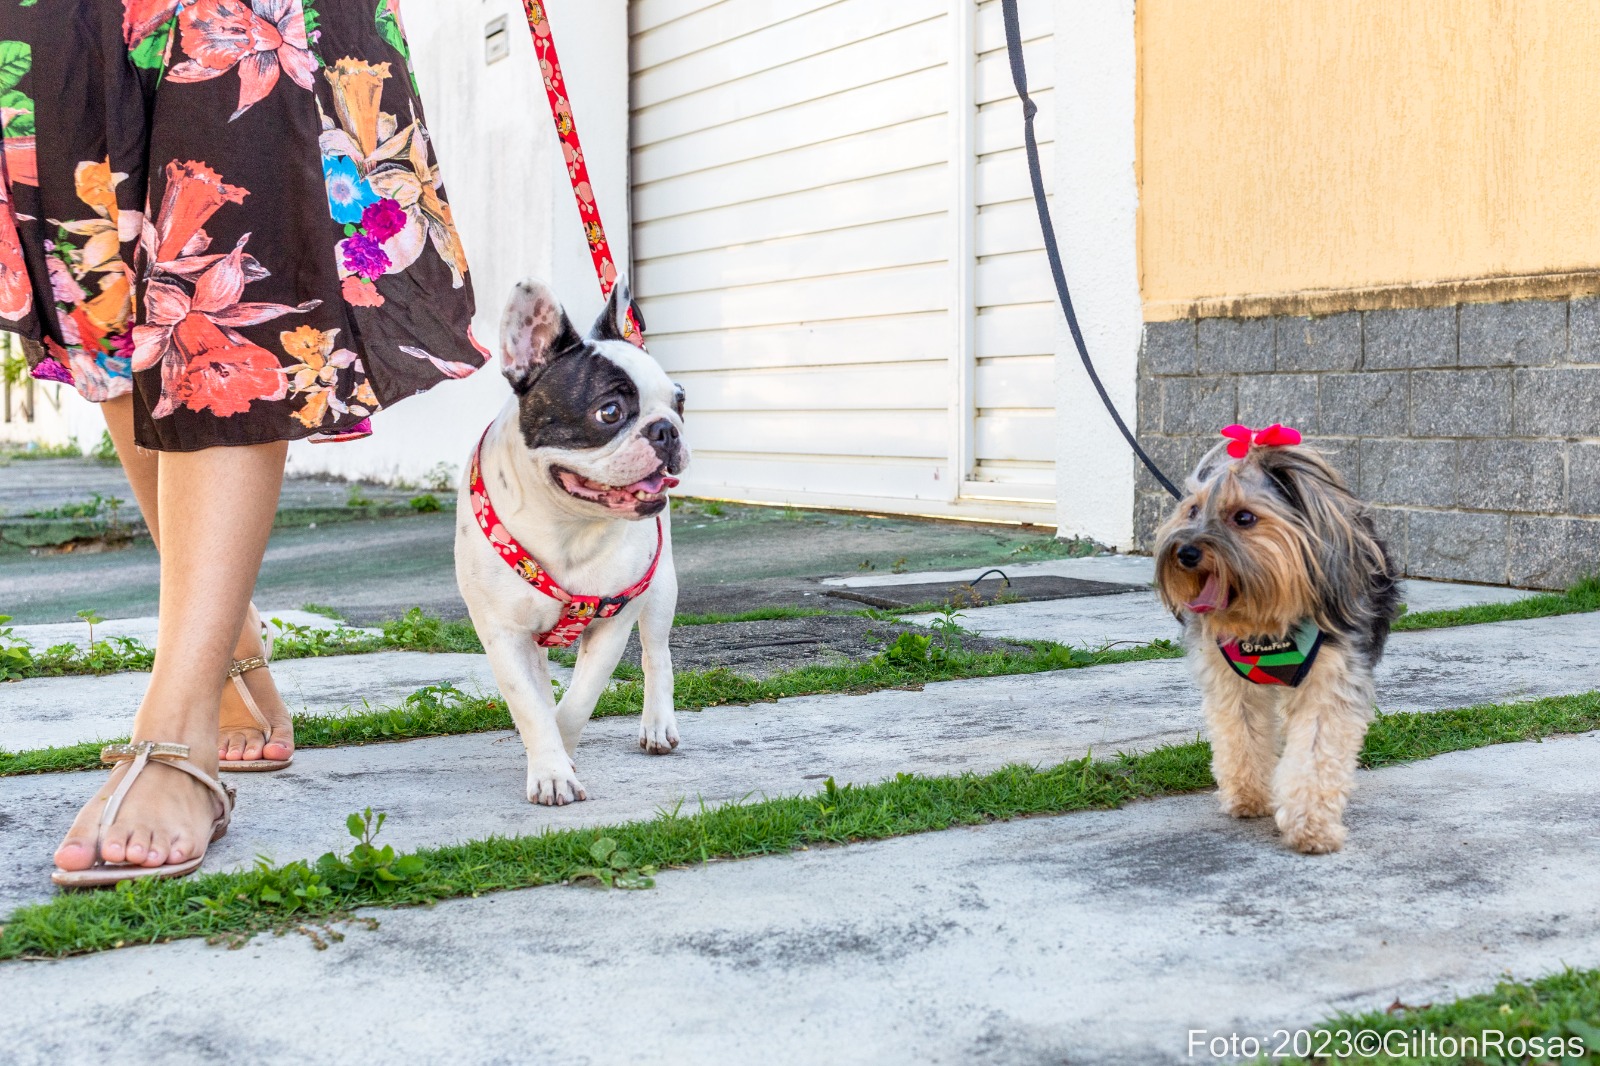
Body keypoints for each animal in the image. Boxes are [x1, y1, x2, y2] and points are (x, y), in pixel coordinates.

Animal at [460, 278, 691, 800]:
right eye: (610, 412)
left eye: (680, 401)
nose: (667, 429)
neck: (566, 525)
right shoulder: (504, 633)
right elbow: (530, 702)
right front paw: (549, 767)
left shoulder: (613, 622)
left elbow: (578, 702)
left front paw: (557, 760)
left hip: (661, 588)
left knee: (657, 654)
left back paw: (658, 724)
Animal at [1152, 422, 1401, 845]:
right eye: (1193, 509)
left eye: (1244, 517)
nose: (1185, 552)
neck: (1265, 622)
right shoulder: (1232, 681)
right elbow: (1242, 734)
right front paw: (1248, 796)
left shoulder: (1331, 679)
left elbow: (1316, 751)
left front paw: (1311, 824)